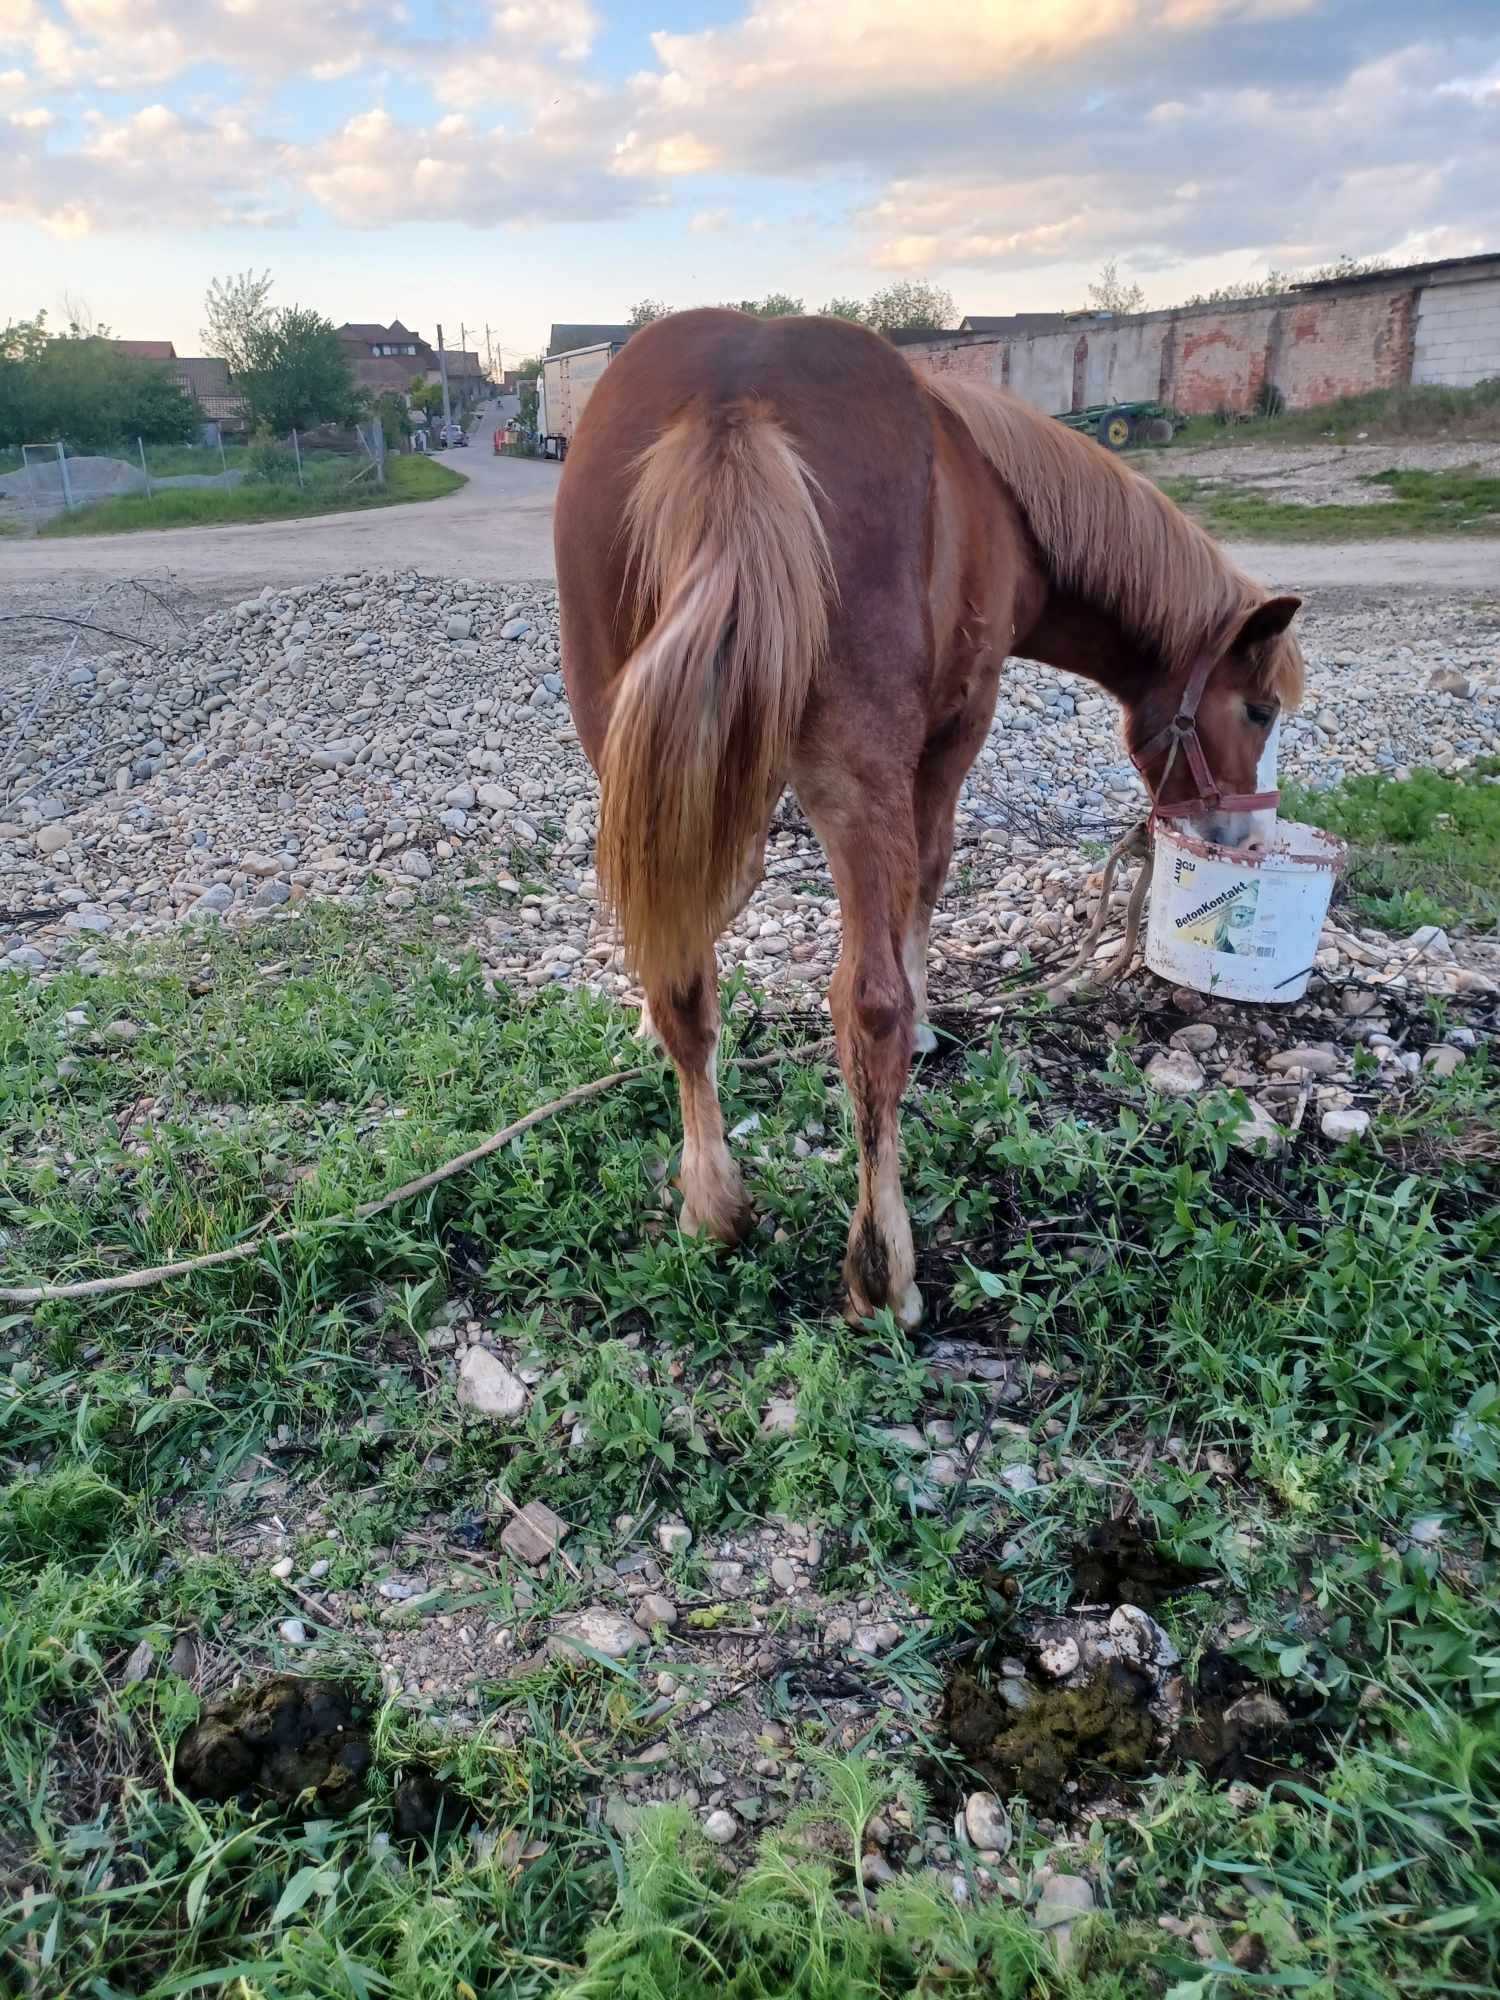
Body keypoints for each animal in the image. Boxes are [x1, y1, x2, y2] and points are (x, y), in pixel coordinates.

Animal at [556, 308, 1304, 1328]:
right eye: (1258, 710)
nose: (1248, 840)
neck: (1005, 497)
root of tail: (731, 406)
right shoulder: (959, 725)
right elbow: (929, 877)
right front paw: (924, 1029)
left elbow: (705, 900)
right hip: (856, 769)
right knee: (866, 1002)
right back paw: (884, 1272)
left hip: (623, 722)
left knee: (687, 968)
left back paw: (710, 1205)